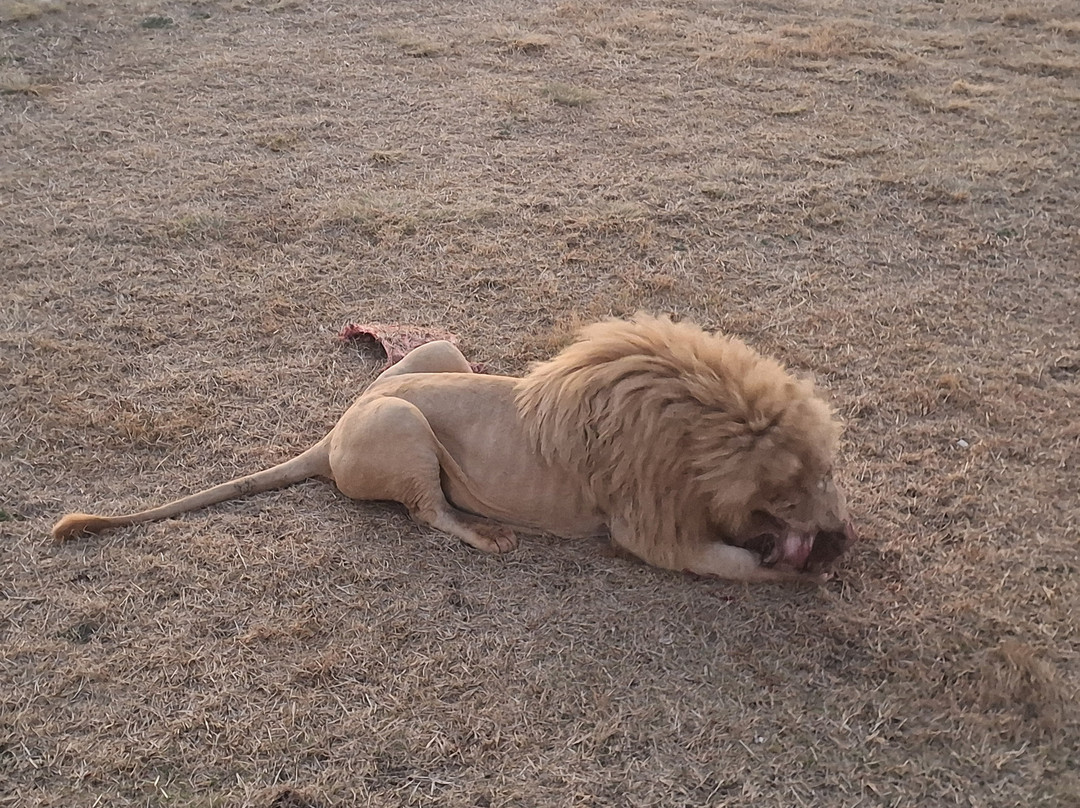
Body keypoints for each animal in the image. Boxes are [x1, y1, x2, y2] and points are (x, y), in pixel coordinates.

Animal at [52, 314, 855, 583]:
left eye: (830, 471)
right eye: (795, 489)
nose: (845, 538)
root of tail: (333, 433)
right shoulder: (650, 532)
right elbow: (741, 567)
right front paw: (805, 575)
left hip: (437, 354)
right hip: (402, 425)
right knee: (427, 513)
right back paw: (489, 537)